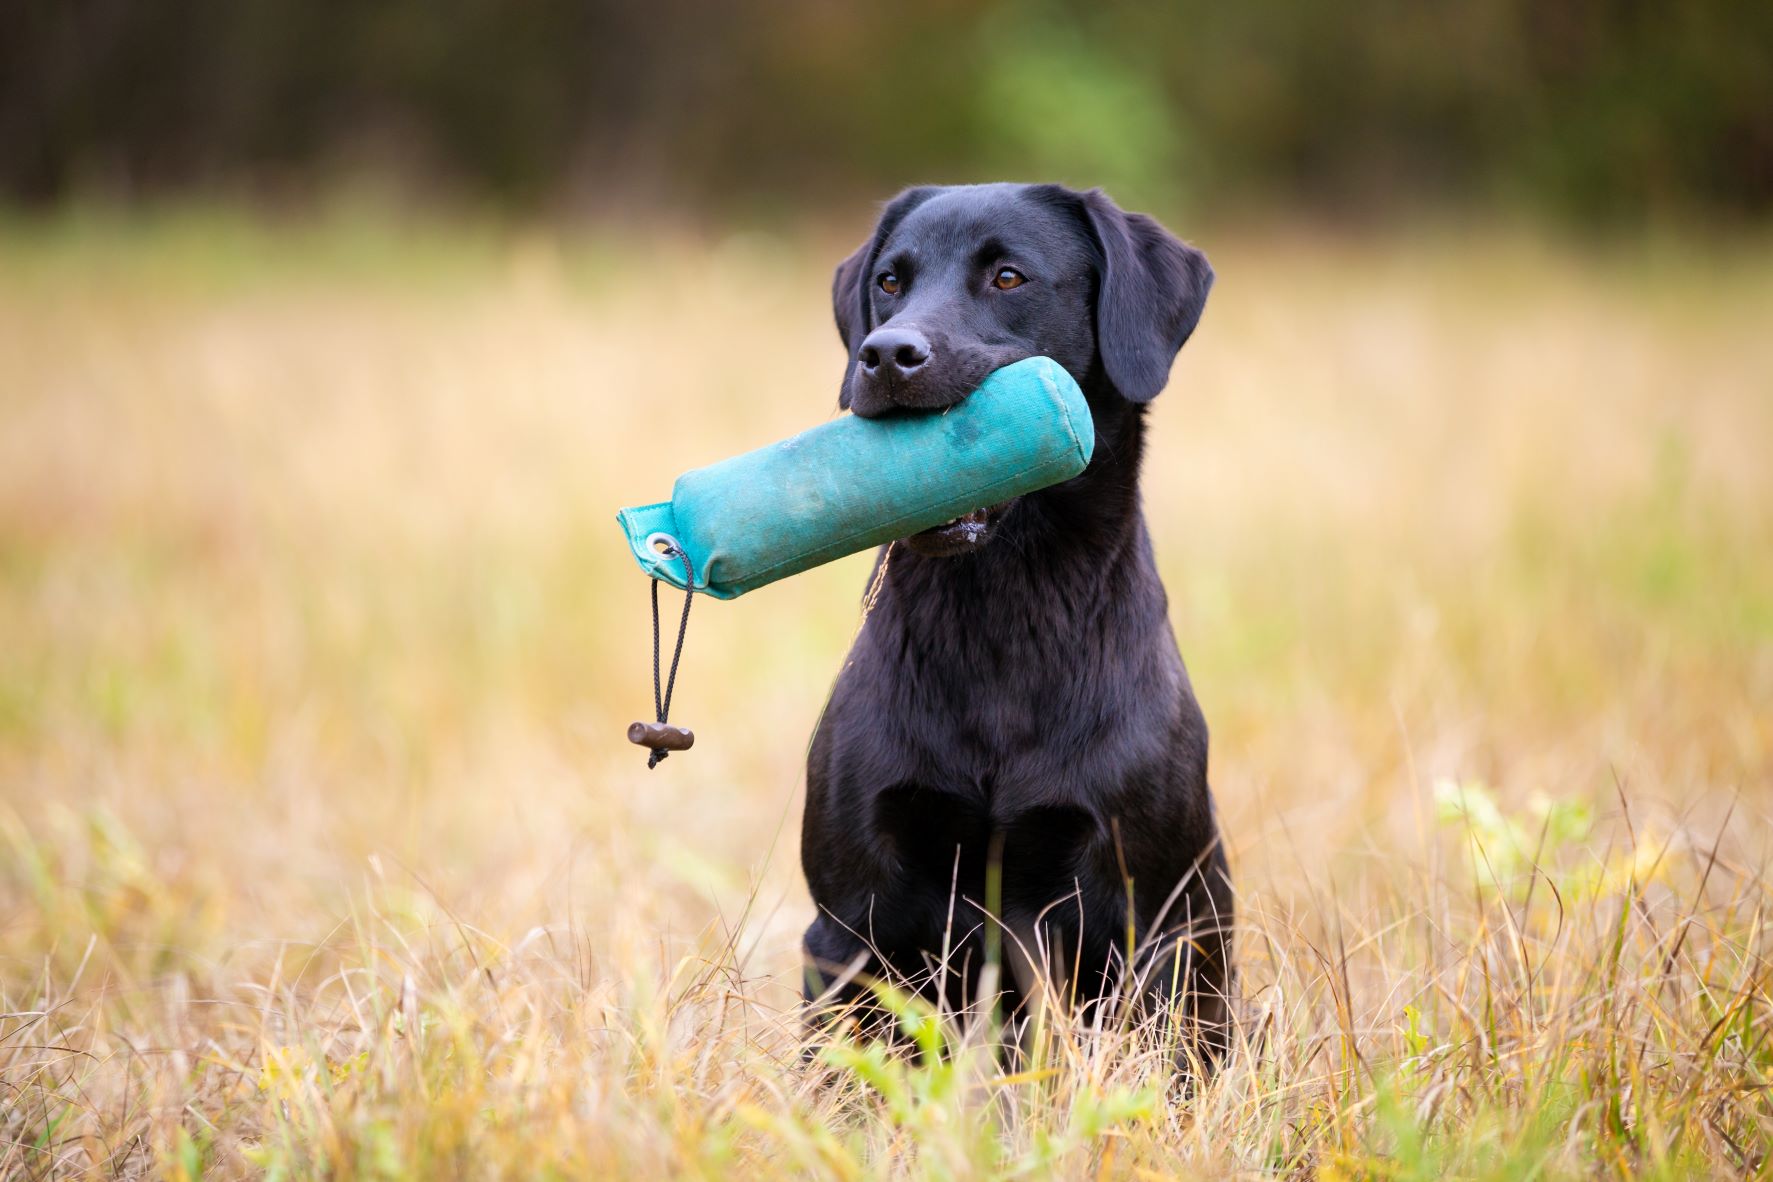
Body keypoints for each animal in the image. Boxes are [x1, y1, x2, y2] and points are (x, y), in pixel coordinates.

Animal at [804, 185, 1234, 1063]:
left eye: (1008, 276)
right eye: (890, 282)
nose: (884, 355)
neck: (1000, 613)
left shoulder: (1149, 922)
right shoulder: (846, 923)